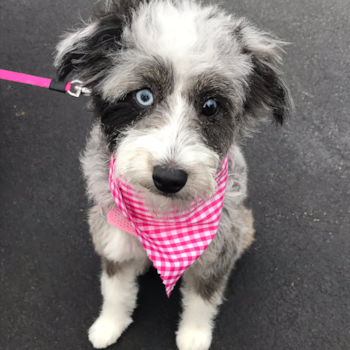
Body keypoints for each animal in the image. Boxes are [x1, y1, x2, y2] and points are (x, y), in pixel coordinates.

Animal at [54, 1, 292, 348]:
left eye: (211, 106)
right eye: (143, 96)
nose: (168, 178)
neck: (162, 218)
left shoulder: (216, 251)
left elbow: (202, 300)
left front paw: (193, 335)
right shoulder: (112, 235)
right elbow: (115, 291)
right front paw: (109, 324)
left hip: (243, 226)